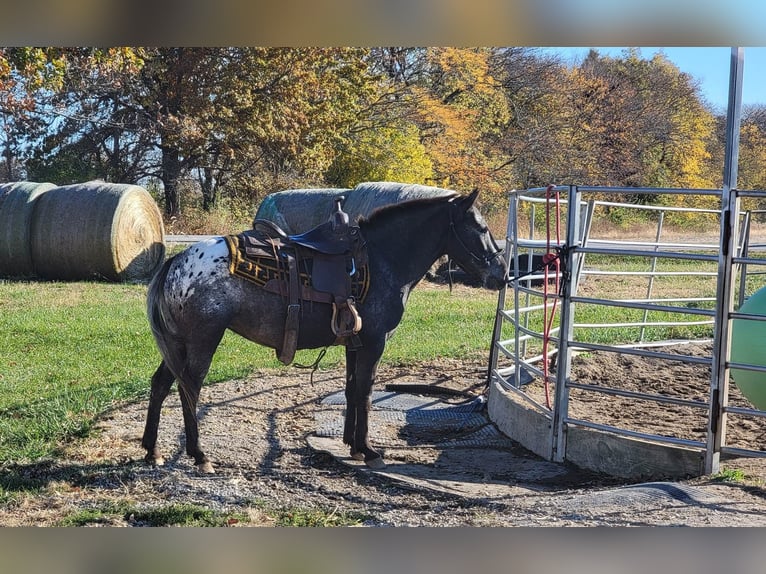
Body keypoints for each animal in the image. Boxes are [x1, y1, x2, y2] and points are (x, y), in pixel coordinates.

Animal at [142, 189, 510, 472]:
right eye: (480, 227)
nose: (501, 272)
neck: (383, 260)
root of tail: (176, 262)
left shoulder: (354, 344)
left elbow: (351, 390)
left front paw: (352, 445)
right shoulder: (374, 343)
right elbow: (365, 392)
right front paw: (368, 450)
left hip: (178, 343)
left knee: (160, 384)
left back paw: (152, 450)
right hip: (202, 341)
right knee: (190, 389)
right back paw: (199, 455)